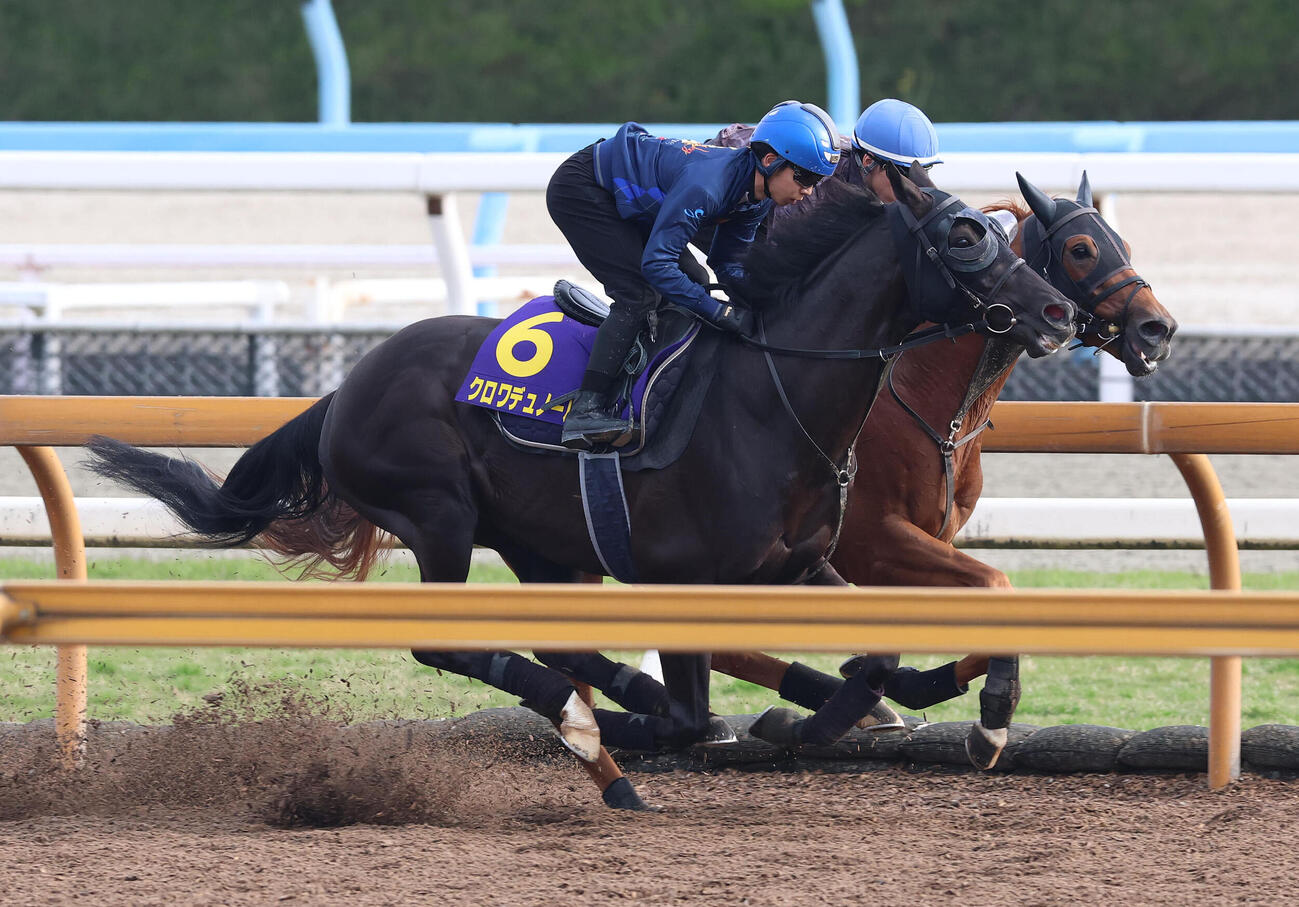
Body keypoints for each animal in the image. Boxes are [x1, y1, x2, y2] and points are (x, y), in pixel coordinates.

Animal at [85, 163, 1078, 809]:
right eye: (963, 235)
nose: (1057, 310)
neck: (771, 392)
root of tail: (346, 387)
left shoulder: (800, 564)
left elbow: (871, 658)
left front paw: (851, 720)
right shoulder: (687, 578)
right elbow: (690, 712)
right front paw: (691, 721)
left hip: (540, 541)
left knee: (556, 639)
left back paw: (607, 741)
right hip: (438, 515)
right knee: (450, 642)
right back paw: (589, 720)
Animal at [734, 172, 1177, 768]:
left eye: (1124, 245)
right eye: (1081, 250)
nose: (1158, 329)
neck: (932, 405)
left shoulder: (926, 544)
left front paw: (926, 691)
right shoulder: (875, 542)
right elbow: (995, 584)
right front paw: (988, 718)